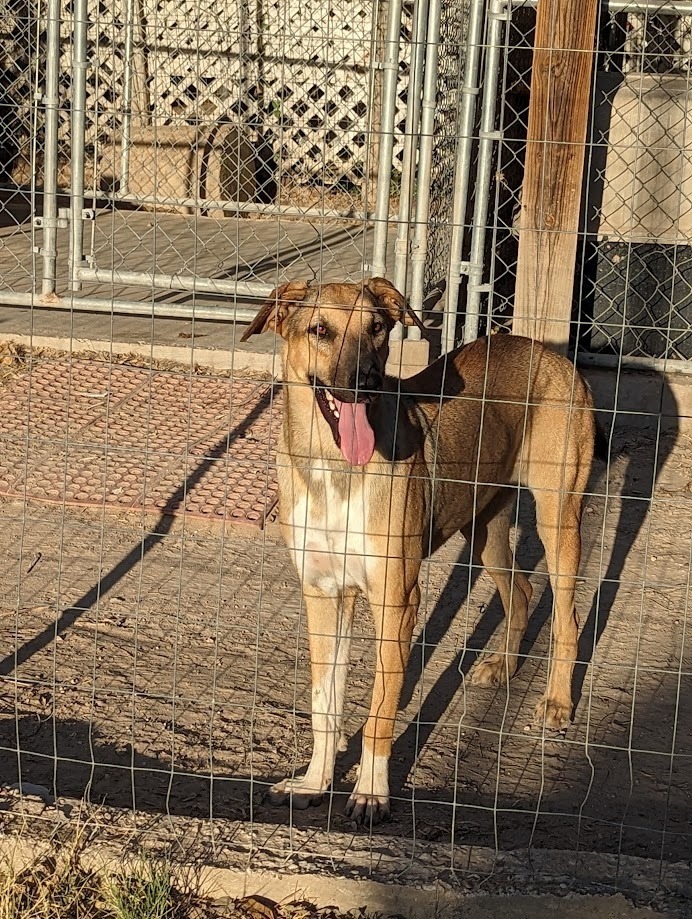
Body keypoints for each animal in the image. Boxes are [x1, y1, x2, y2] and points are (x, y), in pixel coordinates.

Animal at [242, 278, 600, 828]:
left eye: (377, 328)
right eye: (319, 330)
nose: (366, 380)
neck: (332, 466)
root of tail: (547, 351)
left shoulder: (396, 600)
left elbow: (380, 708)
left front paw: (370, 793)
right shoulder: (323, 596)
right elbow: (325, 703)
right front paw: (314, 782)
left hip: (558, 518)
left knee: (566, 618)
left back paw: (557, 701)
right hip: (484, 526)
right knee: (520, 588)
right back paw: (504, 666)